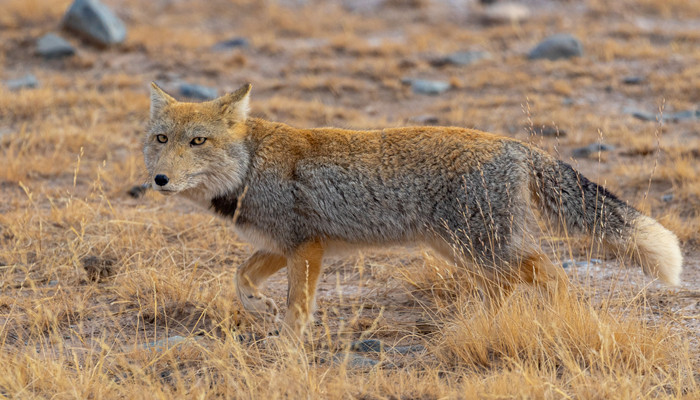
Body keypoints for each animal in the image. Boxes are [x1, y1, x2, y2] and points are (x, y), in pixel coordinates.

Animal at [144, 81, 684, 338]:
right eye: (162, 140)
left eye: (198, 141)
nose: (159, 180)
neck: (250, 165)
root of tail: (514, 145)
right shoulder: (284, 245)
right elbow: (240, 278)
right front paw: (261, 309)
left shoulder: (306, 247)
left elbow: (298, 308)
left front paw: (287, 346)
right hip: (465, 250)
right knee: (513, 283)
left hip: (484, 247)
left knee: (550, 271)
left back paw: (560, 316)